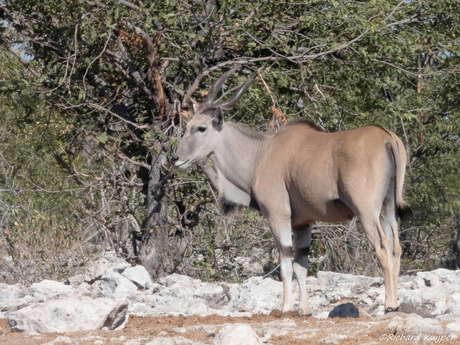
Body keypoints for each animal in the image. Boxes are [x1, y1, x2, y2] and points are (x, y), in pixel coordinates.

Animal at [172, 67, 410, 314]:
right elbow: (301, 265)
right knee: (396, 247)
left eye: (201, 128)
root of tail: (387, 138)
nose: (175, 158)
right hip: (387, 209)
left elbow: (285, 263)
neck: (261, 153)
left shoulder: (278, 215)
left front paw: (286, 307)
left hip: (366, 211)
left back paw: (389, 304)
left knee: (383, 247)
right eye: (186, 127)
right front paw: (304, 310)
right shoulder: (303, 224)